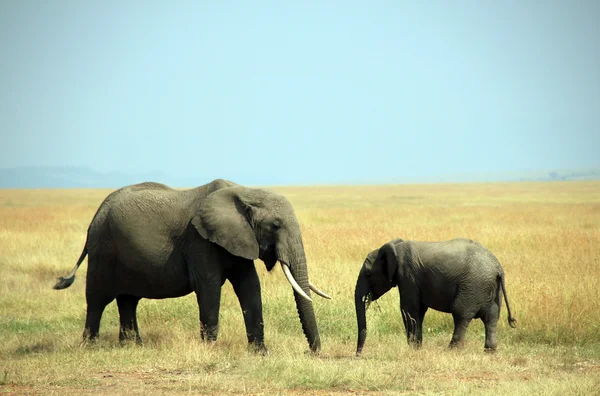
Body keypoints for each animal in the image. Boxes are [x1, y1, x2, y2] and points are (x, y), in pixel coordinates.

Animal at [54, 179, 330, 352]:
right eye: (275, 225)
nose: (313, 352)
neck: (245, 192)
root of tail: (97, 214)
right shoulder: (199, 240)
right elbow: (209, 287)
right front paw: (210, 350)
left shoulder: (239, 238)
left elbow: (250, 286)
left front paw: (261, 353)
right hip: (103, 248)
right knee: (97, 298)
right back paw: (91, 346)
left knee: (128, 300)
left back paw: (132, 346)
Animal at [356, 237, 516, 354]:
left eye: (368, 274)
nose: (358, 354)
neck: (394, 247)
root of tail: (498, 268)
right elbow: (419, 310)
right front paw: (417, 347)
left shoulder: (408, 275)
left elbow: (409, 309)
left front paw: (413, 348)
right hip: (492, 290)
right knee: (491, 318)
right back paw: (490, 351)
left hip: (473, 285)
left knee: (461, 314)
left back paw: (452, 350)